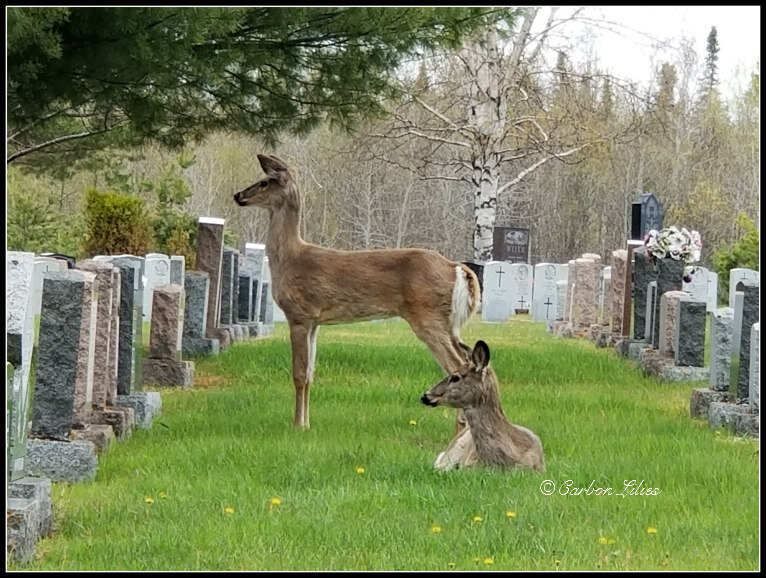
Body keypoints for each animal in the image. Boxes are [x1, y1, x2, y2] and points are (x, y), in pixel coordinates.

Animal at [232, 153, 480, 428]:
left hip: (428, 316)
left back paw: (462, 425)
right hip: (448, 323)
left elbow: (298, 374)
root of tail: (456, 268)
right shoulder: (315, 322)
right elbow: (310, 374)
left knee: (456, 363)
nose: (238, 195)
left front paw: (297, 425)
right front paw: (307, 424)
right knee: (467, 357)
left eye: (265, 182)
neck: (289, 259)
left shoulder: (299, 314)